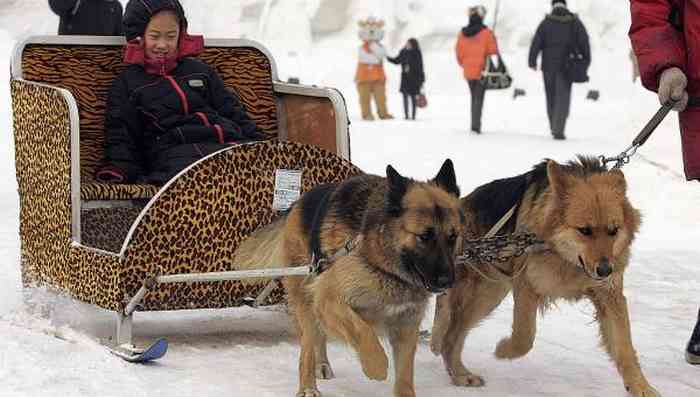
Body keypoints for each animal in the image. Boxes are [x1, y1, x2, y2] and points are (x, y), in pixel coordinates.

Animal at [235, 159, 464, 394]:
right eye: (424, 236)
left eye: (452, 236)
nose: (447, 281)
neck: (379, 259)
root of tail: (297, 203)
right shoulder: (330, 301)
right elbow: (364, 333)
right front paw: (376, 366)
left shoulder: (406, 325)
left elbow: (405, 377)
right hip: (307, 303)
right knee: (307, 347)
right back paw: (308, 386)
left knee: (318, 337)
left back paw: (322, 364)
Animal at [426, 156, 660, 396]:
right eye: (584, 230)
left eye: (613, 231)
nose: (605, 271)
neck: (567, 259)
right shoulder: (526, 286)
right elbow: (524, 336)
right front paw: (504, 350)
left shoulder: (610, 297)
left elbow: (625, 349)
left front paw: (640, 386)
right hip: (486, 293)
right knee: (450, 337)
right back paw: (460, 374)